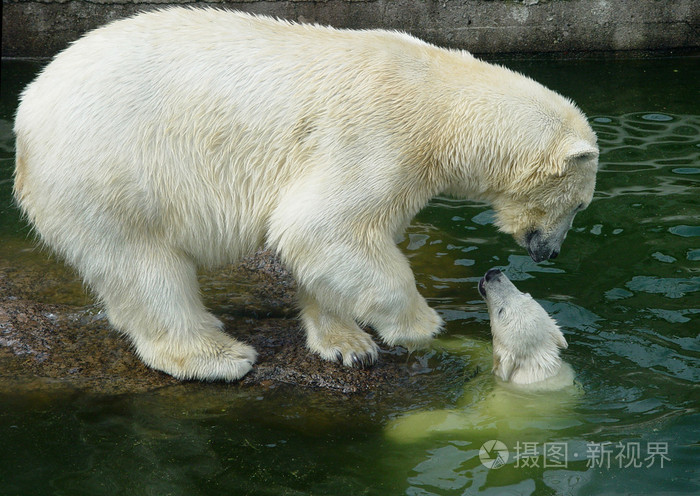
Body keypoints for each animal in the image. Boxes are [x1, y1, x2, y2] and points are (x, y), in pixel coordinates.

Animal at [13, 6, 600, 380]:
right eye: (580, 204)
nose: (549, 252)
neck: (444, 107)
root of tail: (27, 110)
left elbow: (334, 246)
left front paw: (347, 345)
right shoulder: (378, 136)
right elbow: (324, 228)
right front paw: (419, 326)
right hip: (110, 172)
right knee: (145, 266)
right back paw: (218, 357)